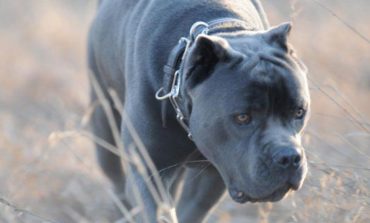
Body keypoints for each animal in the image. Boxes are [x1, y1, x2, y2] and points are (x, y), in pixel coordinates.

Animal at [88, 0, 310, 221]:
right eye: (242, 117)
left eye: (299, 112)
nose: (289, 157)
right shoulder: (148, 167)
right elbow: (159, 212)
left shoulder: (213, 175)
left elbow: (191, 210)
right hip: (104, 120)